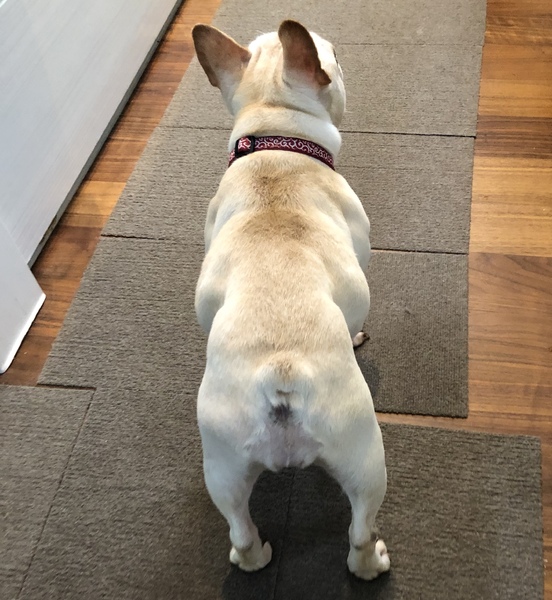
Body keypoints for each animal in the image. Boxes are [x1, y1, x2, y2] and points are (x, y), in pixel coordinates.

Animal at [192, 20, 390, 580]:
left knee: (239, 533)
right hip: (364, 452)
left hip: (222, 463)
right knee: (359, 532)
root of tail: (279, 375)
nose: (341, 55)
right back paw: (372, 564)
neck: (276, 144)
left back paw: (256, 556)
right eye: (335, 55)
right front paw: (356, 333)